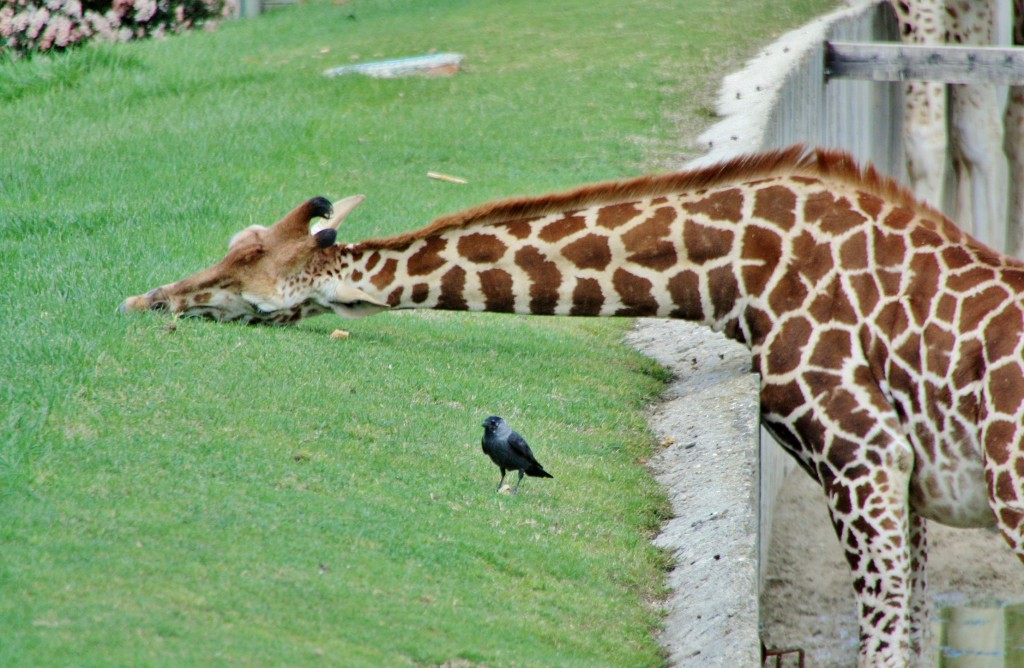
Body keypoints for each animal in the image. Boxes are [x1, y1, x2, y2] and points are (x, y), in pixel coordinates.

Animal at [121, 147, 1024, 667]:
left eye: (246, 275)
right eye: (234, 244)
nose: (143, 299)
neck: (739, 271)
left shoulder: (862, 454)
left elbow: (882, 638)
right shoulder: (905, 482)